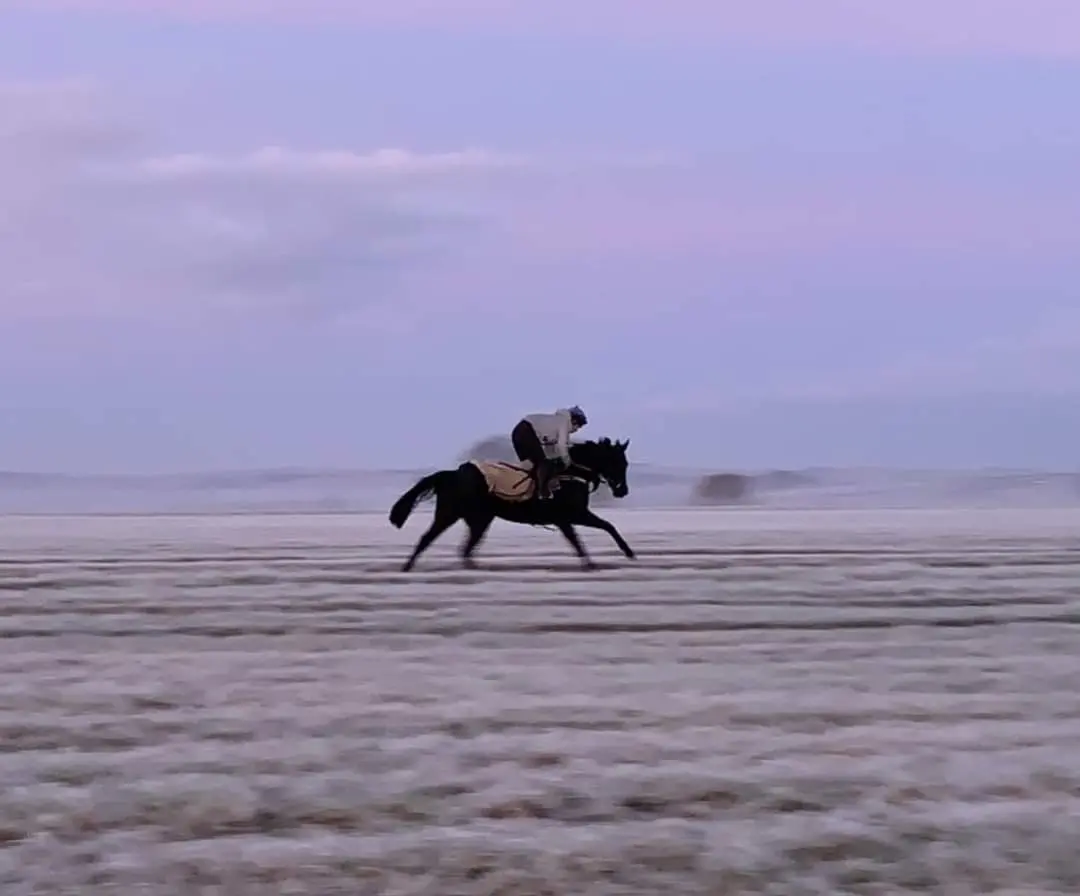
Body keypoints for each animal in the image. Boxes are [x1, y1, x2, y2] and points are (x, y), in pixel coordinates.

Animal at [388, 437, 637, 571]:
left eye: (625, 463)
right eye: (618, 462)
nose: (623, 491)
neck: (569, 473)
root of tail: (451, 474)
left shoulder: (572, 517)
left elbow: (600, 530)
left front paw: (626, 553)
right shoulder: (571, 516)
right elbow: (586, 536)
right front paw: (613, 557)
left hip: (478, 519)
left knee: (465, 548)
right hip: (451, 514)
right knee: (428, 539)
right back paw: (407, 567)